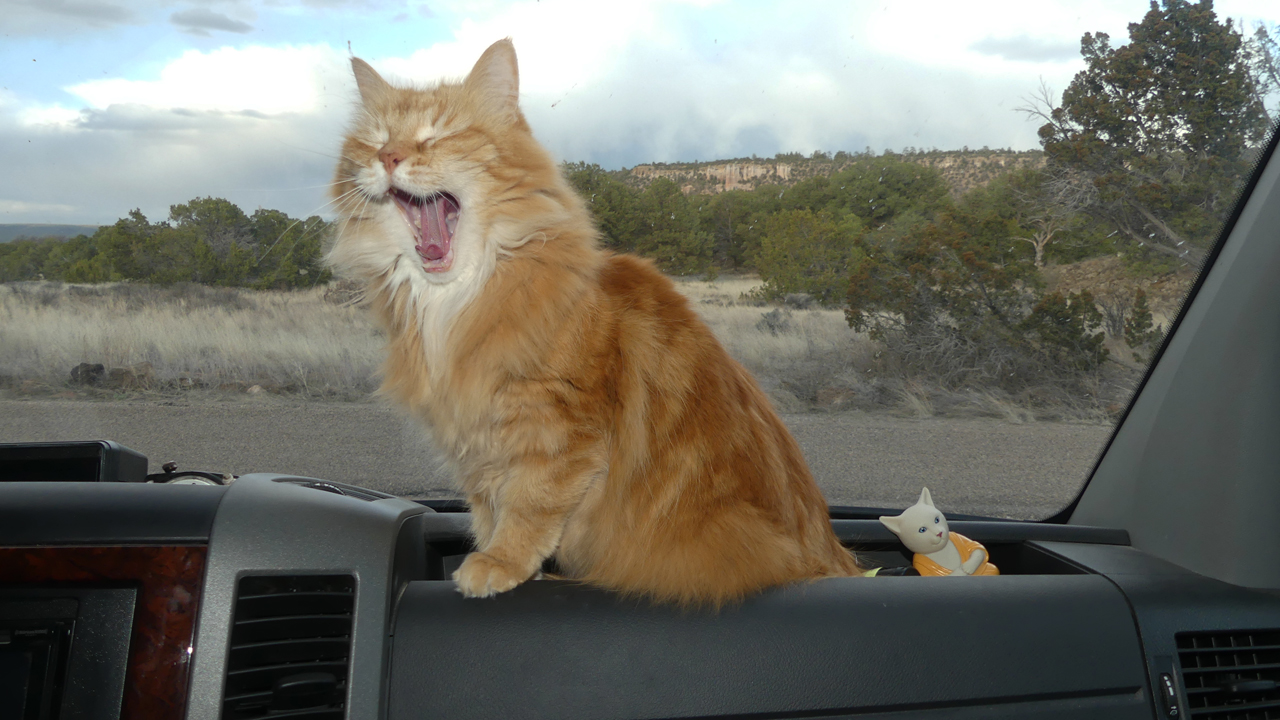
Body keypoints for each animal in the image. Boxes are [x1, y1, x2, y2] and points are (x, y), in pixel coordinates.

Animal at [325, 39, 865, 604]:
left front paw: (500, 563)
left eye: (439, 133)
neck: (455, 302)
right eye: (374, 141)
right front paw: (509, 561)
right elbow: (488, 508)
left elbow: (528, 506)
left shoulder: (561, 433)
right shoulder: (477, 442)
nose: (390, 158)